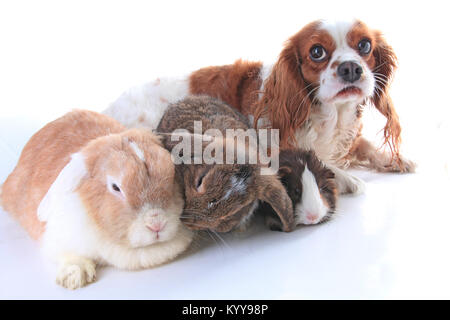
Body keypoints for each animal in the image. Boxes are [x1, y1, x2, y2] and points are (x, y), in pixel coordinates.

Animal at [104, 20, 414, 195]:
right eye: (317, 52)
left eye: (365, 46)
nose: (351, 68)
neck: (327, 113)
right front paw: (347, 178)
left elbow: (366, 146)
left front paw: (394, 159)